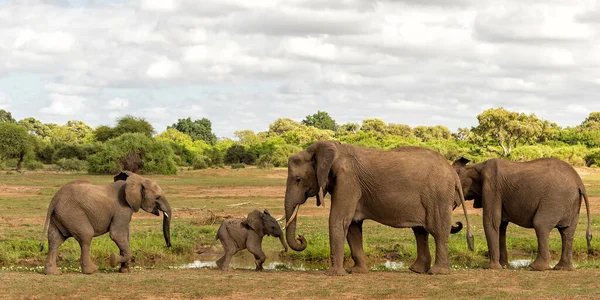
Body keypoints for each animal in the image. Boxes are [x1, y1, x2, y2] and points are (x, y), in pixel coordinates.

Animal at [39, 172, 171, 276]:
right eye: (157, 197)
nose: (169, 246)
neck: (136, 180)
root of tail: (54, 199)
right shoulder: (122, 209)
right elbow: (117, 235)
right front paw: (113, 260)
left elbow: (125, 237)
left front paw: (125, 271)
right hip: (73, 214)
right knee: (86, 236)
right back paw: (91, 271)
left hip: (60, 215)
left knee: (55, 240)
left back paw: (53, 273)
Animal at [284, 142, 472, 276]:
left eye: (298, 179)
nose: (301, 237)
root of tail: (452, 171)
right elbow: (352, 225)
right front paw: (357, 272)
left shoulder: (347, 180)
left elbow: (339, 220)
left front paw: (334, 274)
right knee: (420, 231)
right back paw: (417, 270)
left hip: (438, 195)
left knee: (437, 230)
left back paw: (437, 272)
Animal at [452, 156, 592, 270]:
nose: (458, 223)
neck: (474, 166)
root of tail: (579, 182)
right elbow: (501, 225)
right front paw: (504, 266)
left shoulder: (492, 188)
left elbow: (491, 222)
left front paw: (491, 268)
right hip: (571, 203)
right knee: (567, 231)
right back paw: (562, 268)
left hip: (555, 199)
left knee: (541, 224)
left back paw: (536, 268)